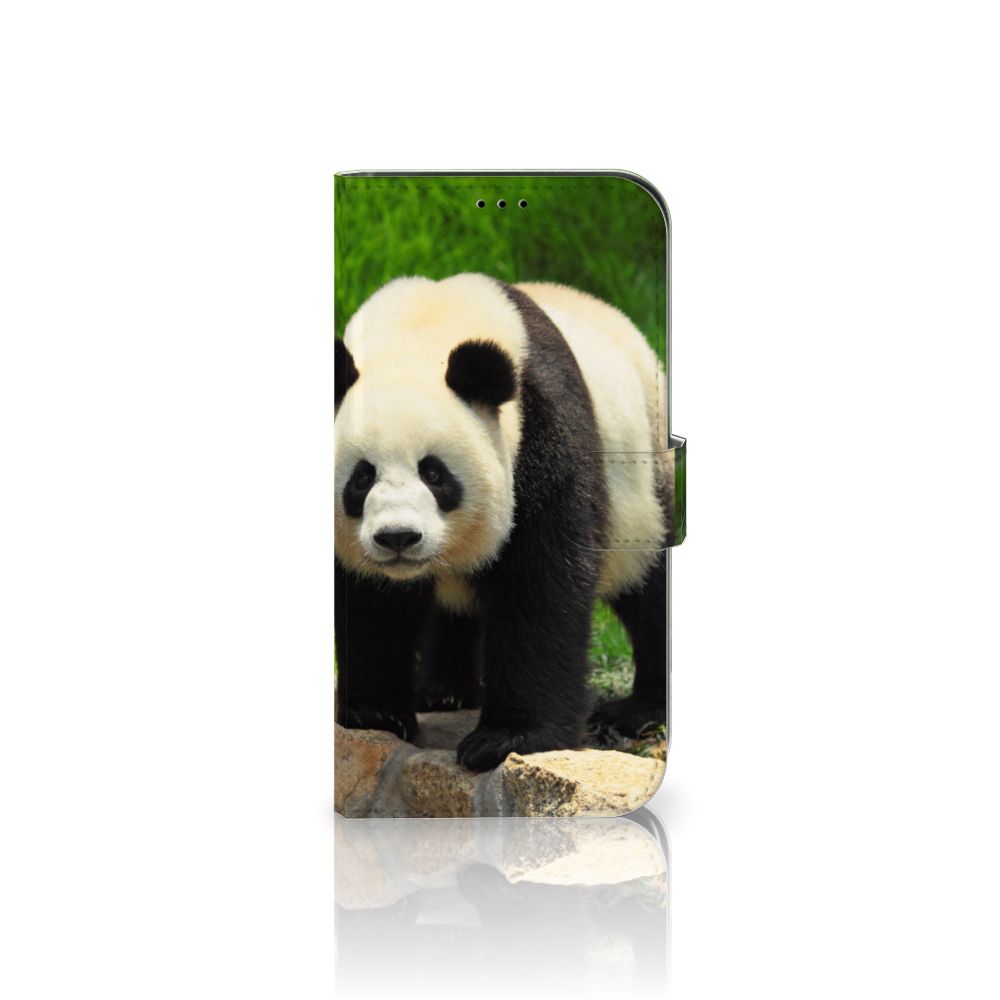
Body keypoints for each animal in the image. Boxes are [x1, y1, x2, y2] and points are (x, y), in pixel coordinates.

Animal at [335, 273, 672, 772]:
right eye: (361, 478)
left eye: (434, 473)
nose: (398, 538)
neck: (421, 330)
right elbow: (371, 601)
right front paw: (374, 712)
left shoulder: (542, 429)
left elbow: (540, 582)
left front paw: (509, 738)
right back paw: (444, 690)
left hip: (643, 479)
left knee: (648, 585)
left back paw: (640, 710)